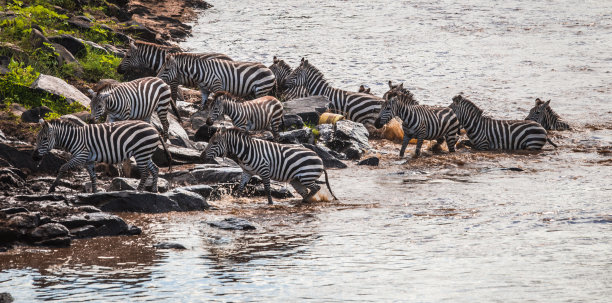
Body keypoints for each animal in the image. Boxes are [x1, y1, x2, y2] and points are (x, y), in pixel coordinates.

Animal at [32, 119, 171, 192]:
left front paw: (52, 188)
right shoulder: (88, 160)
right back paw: (154, 190)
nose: (34, 157)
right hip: (145, 153)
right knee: (155, 169)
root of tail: (154, 129)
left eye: (44, 139)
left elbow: (63, 167)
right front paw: (94, 192)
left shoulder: (81, 156)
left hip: (142, 153)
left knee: (145, 173)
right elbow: (93, 176)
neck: (75, 138)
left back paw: (138, 191)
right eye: (37, 138)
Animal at [204, 127, 340, 205]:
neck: (246, 151)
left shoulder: (265, 170)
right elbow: (240, 188)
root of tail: (320, 159)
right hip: (296, 180)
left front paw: (270, 203)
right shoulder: (247, 172)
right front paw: (236, 200)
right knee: (307, 191)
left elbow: (267, 189)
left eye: (214, 142)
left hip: (306, 176)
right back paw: (304, 200)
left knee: (316, 188)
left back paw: (304, 201)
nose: (201, 156)